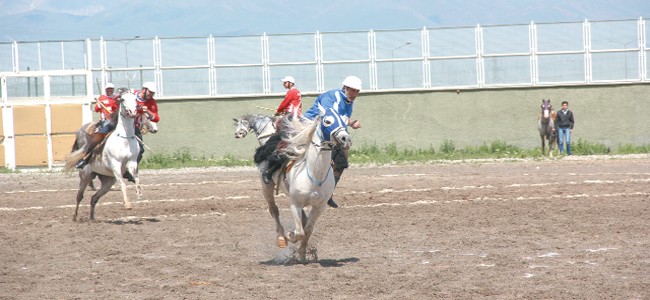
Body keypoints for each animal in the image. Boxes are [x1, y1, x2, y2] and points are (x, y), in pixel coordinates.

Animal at [65, 92, 143, 221]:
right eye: (122, 99)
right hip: (85, 177)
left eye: (135, 99)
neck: (124, 138)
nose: (132, 111)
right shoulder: (116, 164)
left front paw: (139, 193)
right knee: (79, 196)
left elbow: (137, 178)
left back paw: (92, 217)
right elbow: (123, 184)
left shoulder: (132, 163)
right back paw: (74, 216)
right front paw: (127, 204)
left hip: (107, 183)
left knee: (94, 198)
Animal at [258, 108, 350, 262]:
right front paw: (289, 235)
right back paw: (281, 237)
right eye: (327, 121)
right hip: (266, 188)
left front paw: (302, 253)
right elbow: (299, 232)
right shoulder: (295, 203)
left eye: (344, 120)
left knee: (303, 219)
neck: (314, 175)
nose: (346, 139)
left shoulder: (319, 207)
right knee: (274, 209)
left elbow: (307, 230)